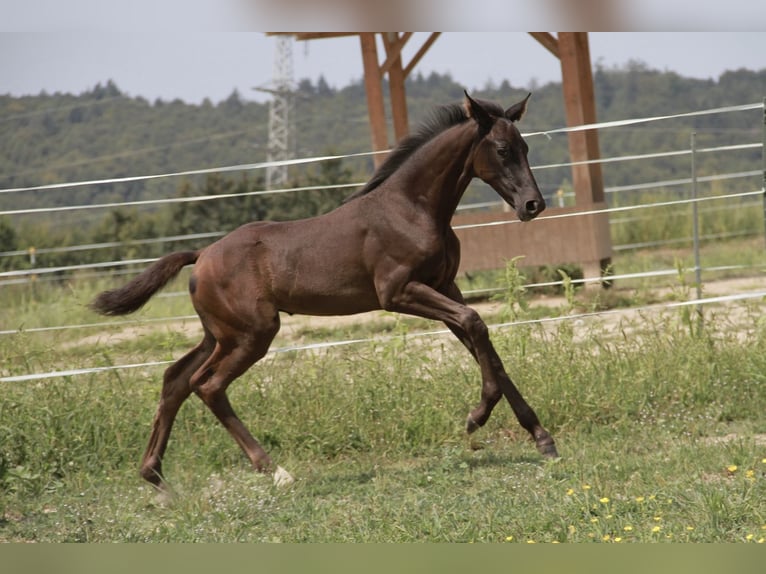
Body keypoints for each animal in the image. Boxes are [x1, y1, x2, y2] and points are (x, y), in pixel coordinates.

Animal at [90, 91, 559, 489]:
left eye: (526, 148)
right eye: (503, 150)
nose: (533, 205)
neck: (412, 208)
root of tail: (201, 254)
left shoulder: (446, 286)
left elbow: (486, 349)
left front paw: (542, 438)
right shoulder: (399, 292)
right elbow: (476, 324)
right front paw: (476, 417)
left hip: (221, 333)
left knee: (176, 379)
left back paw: (155, 478)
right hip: (253, 333)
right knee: (207, 385)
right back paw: (273, 469)